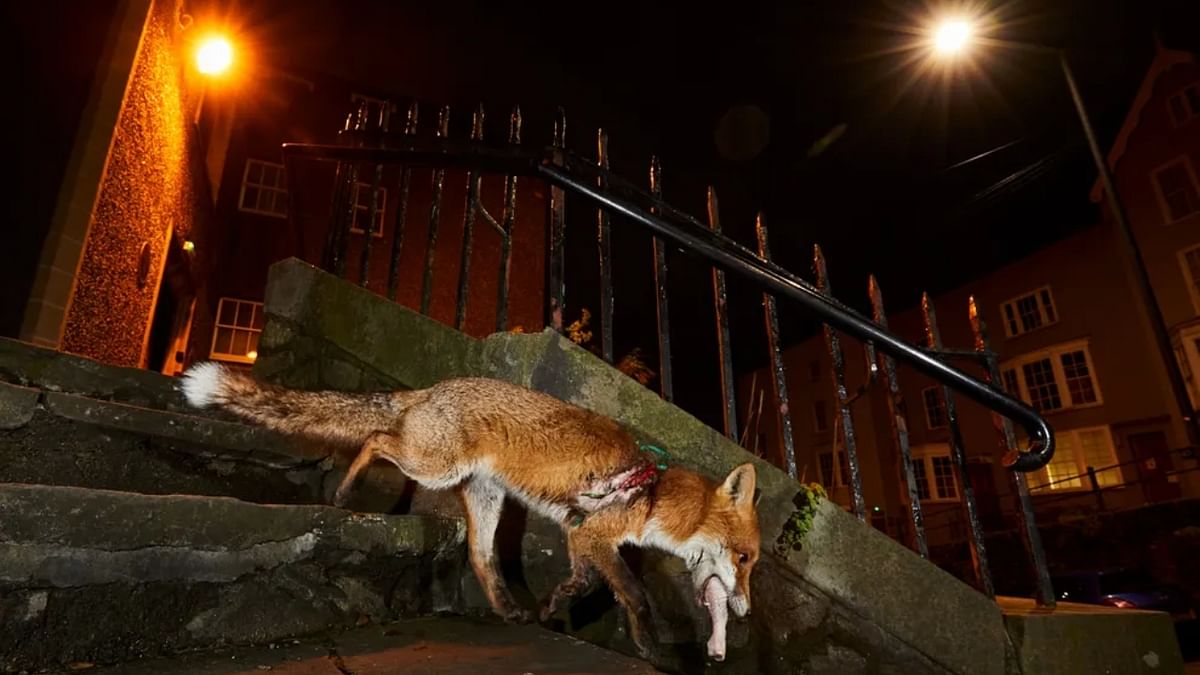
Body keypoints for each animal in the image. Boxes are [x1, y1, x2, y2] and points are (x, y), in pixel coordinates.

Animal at [177, 362, 758, 658]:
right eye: (747, 559)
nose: (747, 613)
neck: (650, 493)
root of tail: (429, 388)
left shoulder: (579, 534)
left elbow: (584, 582)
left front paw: (552, 607)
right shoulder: (596, 535)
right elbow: (634, 594)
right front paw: (649, 647)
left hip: (484, 497)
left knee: (482, 558)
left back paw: (507, 609)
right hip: (435, 467)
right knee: (376, 438)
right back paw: (344, 492)